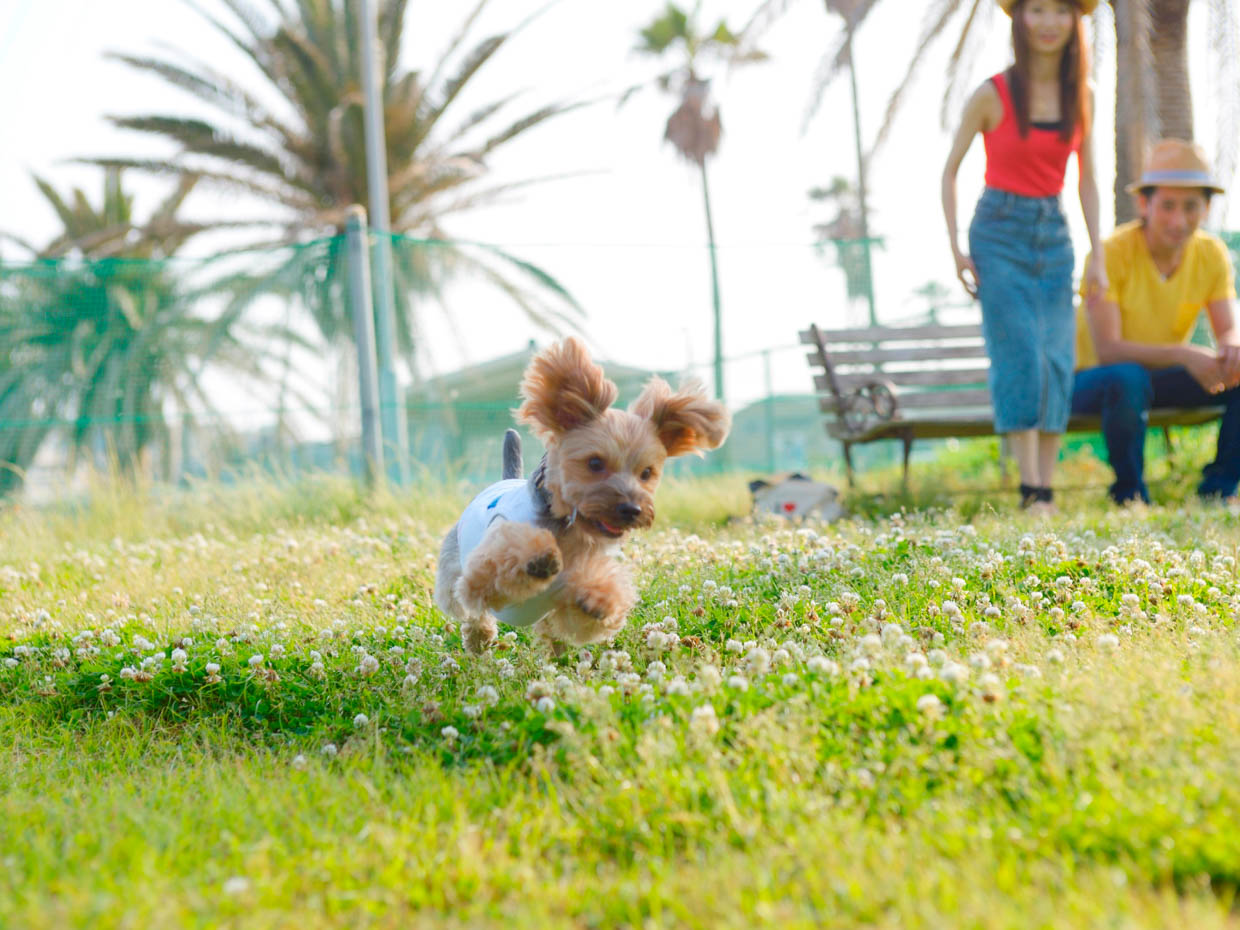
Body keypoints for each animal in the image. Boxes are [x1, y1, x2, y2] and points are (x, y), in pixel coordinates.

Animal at [434, 339, 724, 649]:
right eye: (594, 463)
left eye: (646, 472)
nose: (631, 509)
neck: (569, 528)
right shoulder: (484, 571)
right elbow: (494, 571)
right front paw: (538, 558)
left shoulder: (566, 602)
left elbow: (585, 613)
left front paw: (598, 596)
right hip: (453, 573)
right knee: (465, 605)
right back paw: (480, 636)